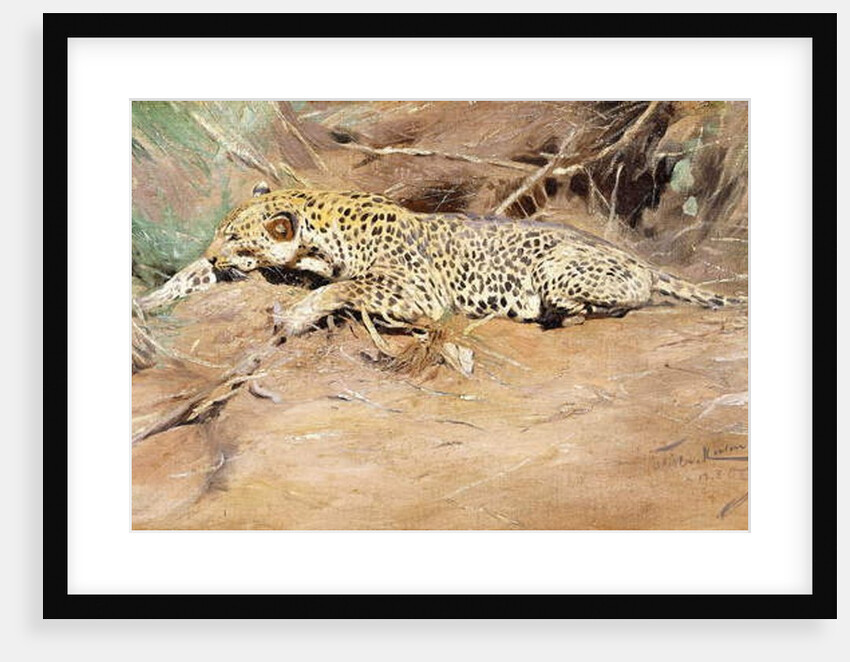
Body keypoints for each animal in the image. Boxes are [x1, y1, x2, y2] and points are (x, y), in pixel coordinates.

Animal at [140, 182, 746, 337]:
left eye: (236, 240)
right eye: (218, 236)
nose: (214, 253)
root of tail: (634, 255)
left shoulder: (419, 291)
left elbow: (344, 287)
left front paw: (295, 315)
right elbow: (190, 278)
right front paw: (148, 301)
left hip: (558, 268)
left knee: (626, 300)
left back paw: (558, 314)